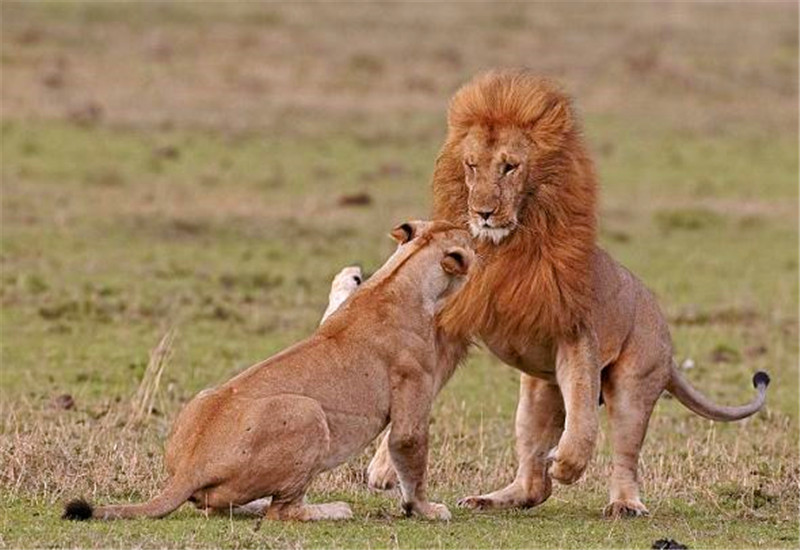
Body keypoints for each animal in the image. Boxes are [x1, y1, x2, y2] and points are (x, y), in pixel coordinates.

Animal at [368, 68, 768, 516]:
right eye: (471, 166)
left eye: (509, 167)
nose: (483, 212)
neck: (507, 247)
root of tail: (660, 320)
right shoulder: (451, 327)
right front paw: (383, 467)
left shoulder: (576, 336)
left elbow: (583, 419)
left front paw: (569, 464)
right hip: (537, 395)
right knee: (533, 483)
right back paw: (490, 498)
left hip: (635, 382)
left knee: (622, 451)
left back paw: (623, 503)